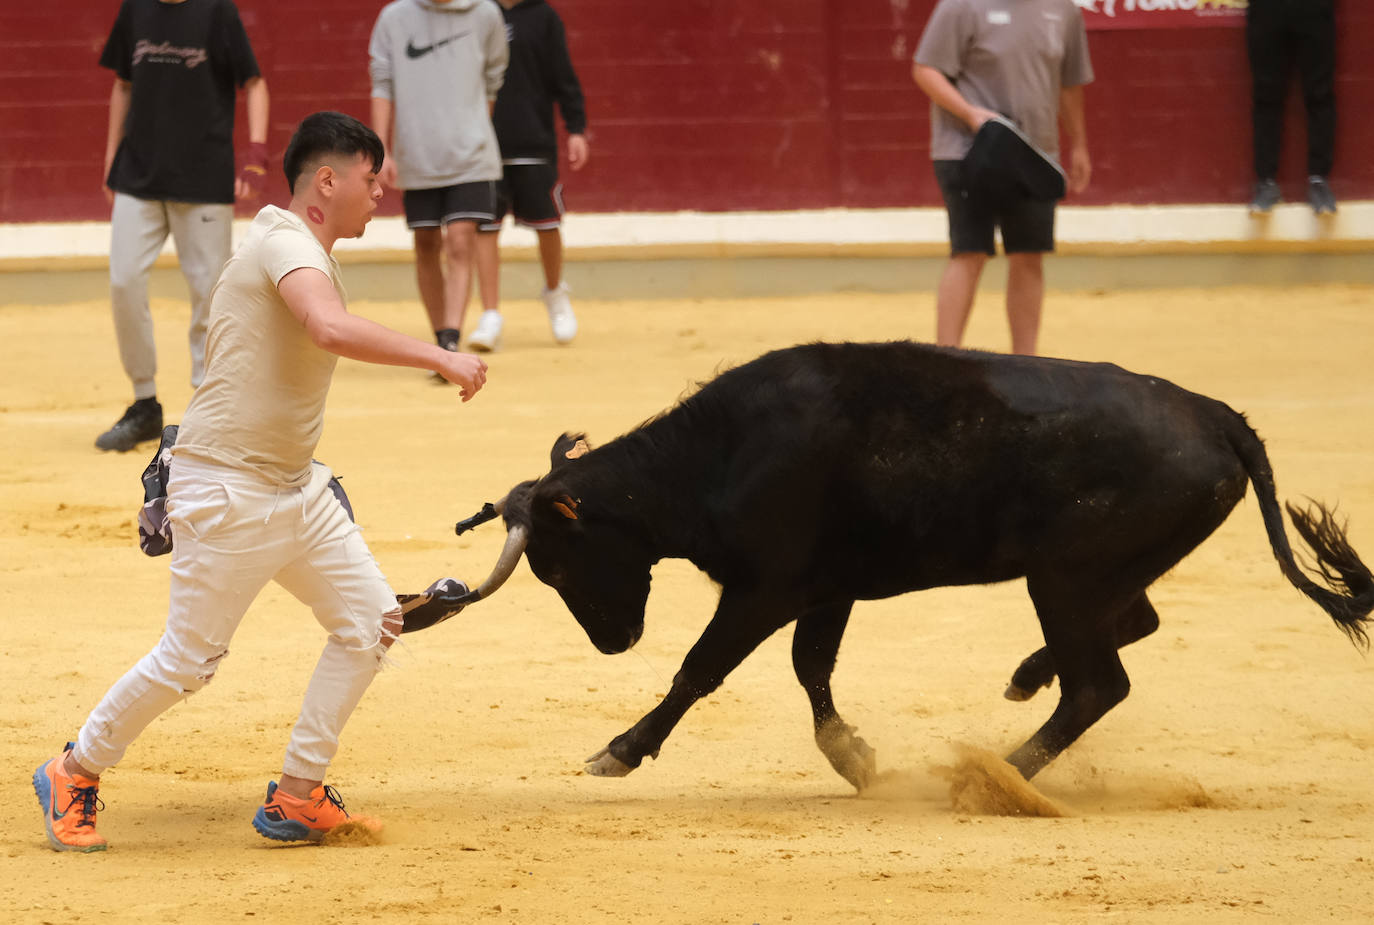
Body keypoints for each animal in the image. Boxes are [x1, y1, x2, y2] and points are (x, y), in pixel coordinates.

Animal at [434, 342, 1368, 791]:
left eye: (558, 563)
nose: (613, 642)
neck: (718, 454)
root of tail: (1215, 414)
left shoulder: (765, 588)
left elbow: (701, 668)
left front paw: (620, 750)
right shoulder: (824, 588)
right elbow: (812, 669)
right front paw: (855, 758)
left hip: (1063, 578)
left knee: (1099, 682)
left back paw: (997, 774)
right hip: (1089, 575)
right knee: (1131, 626)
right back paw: (1022, 683)